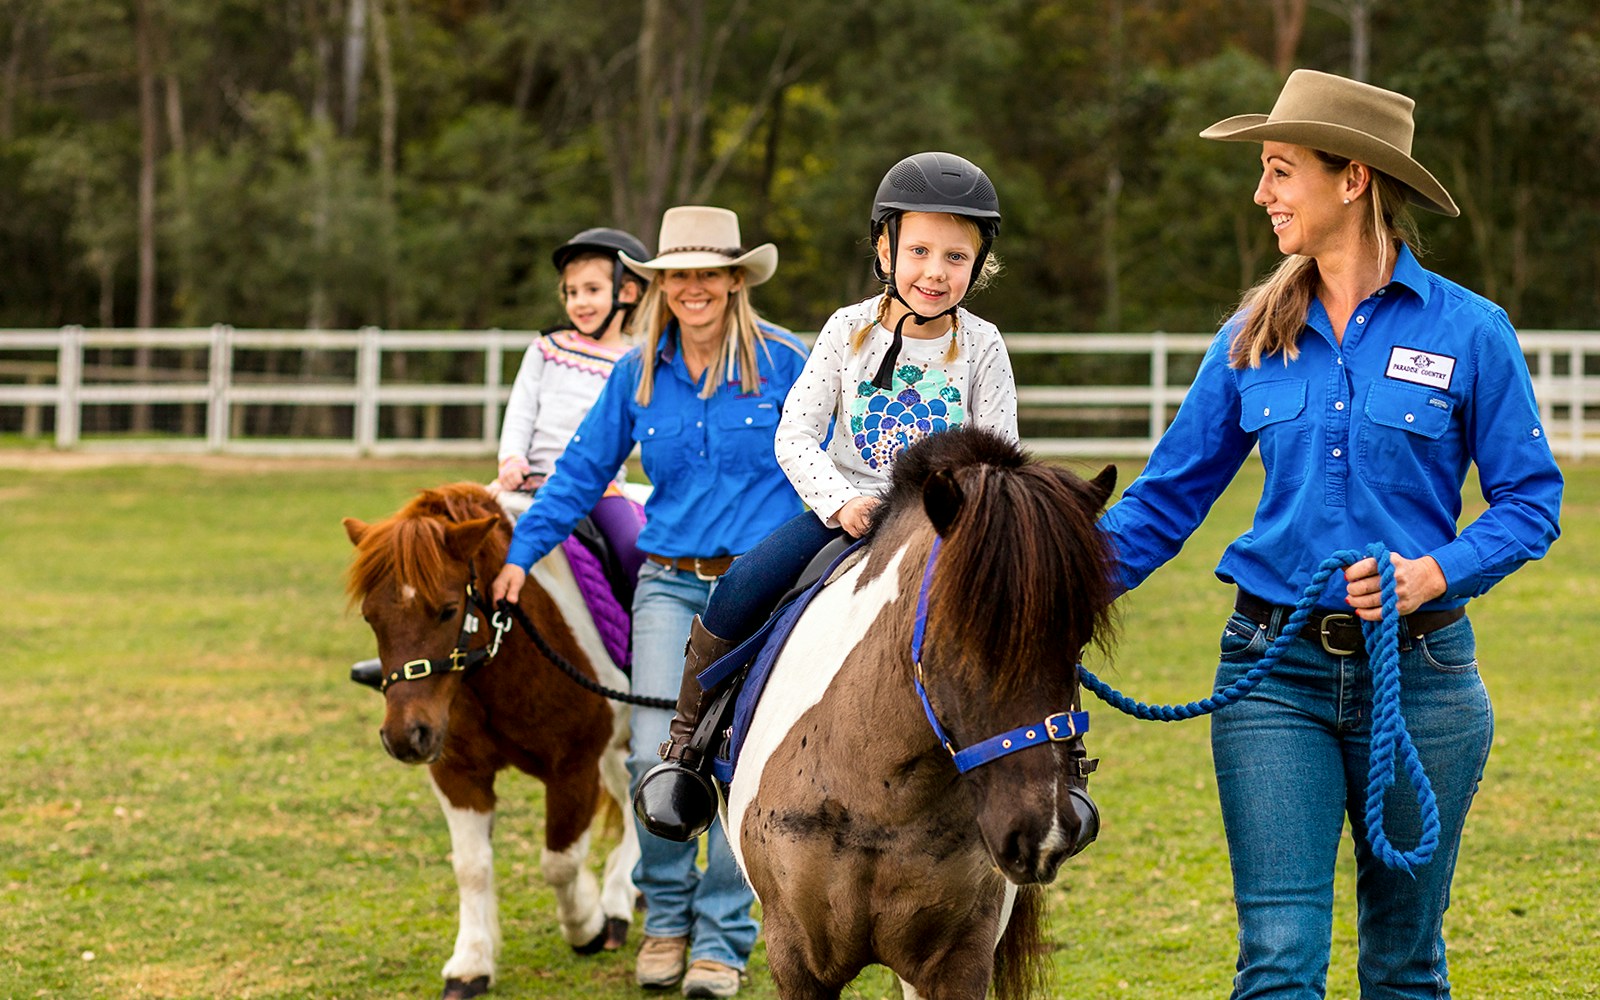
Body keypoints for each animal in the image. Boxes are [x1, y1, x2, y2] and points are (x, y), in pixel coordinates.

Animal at [344, 480, 636, 992]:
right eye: (370, 617)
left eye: (446, 611)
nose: (405, 737)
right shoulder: (458, 773)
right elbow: (472, 867)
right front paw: (471, 963)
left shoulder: (574, 768)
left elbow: (559, 861)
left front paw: (586, 926)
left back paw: (617, 904)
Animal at [726, 425, 1113, 998]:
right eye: (958, 633)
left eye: (1078, 641)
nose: (1040, 836)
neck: (875, 786)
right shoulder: (796, 959)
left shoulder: (956, 961)